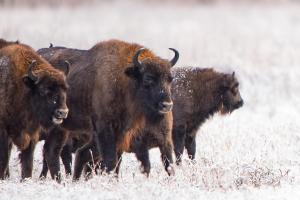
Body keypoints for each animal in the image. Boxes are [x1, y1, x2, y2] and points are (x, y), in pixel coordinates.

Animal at [0, 39, 68, 180]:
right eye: (44, 90)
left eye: (65, 89)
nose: (62, 112)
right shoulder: (2, 130)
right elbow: (3, 159)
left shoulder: (31, 135)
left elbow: (27, 165)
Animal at [37, 39, 178, 181]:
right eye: (148, 78)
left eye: (170, 79)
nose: (167, 105)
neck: (125, 80)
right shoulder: (105, 128)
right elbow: (111, 160)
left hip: (61, 129)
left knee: (58, 152)